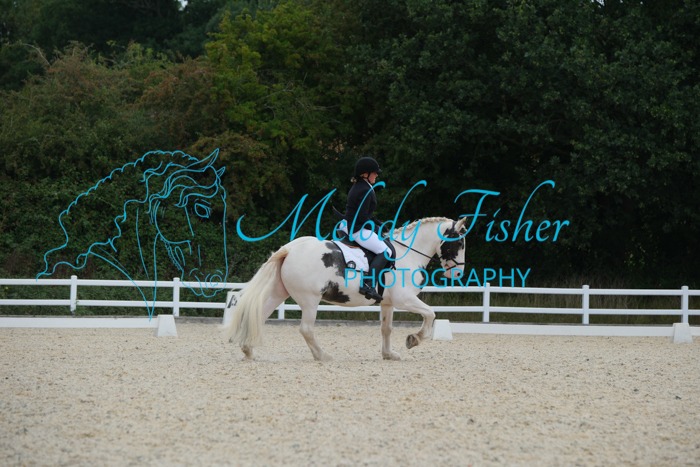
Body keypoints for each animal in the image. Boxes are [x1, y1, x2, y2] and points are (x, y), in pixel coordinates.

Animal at [223, 216, 467, 361]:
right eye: (459, 243)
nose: (457, 274)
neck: (407, 253)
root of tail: (290, 249)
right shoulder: (404, 299)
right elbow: (430, 314)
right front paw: (414, 340)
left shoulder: (388, 303)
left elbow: (386, 329)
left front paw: (389, 354)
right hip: (310, 299)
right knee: (306, 329)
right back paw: (323, 356)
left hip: (278, 293)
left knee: (259, 316)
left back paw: (248, 350)